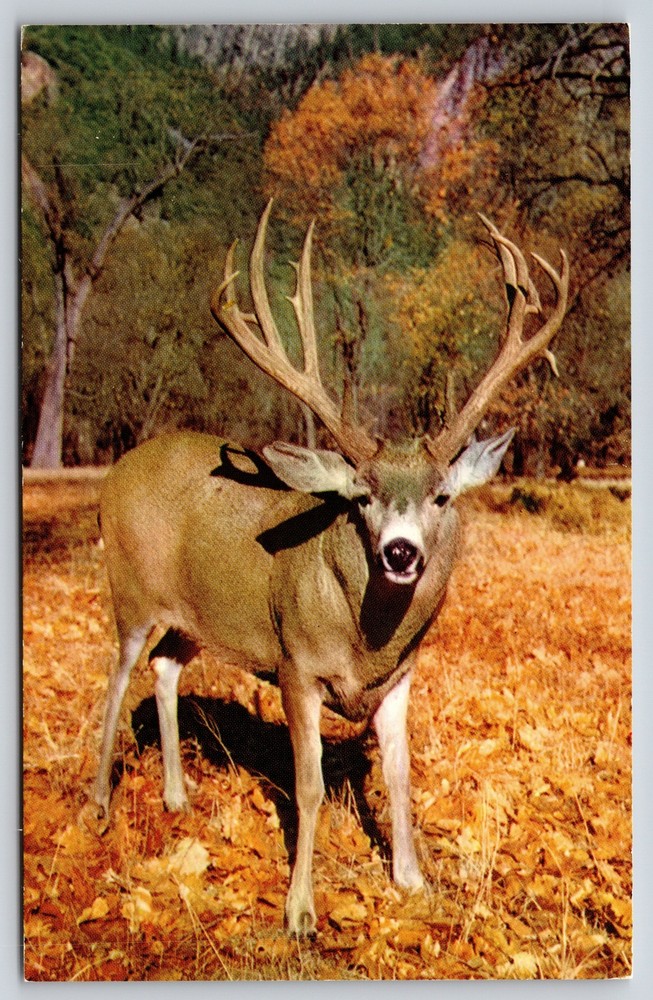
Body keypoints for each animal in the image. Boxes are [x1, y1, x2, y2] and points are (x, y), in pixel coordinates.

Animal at [93, 201, 569, 936]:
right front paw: (300, 912)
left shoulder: (400, 680)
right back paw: (98, 805)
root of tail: (116, 470)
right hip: (129, 590)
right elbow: (309, 786)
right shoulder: (295, 664)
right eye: (362, 496)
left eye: (441, 495)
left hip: (191, 618)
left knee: (165, 668)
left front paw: (412, 881)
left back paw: (176, 797)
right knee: (116, 680)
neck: (363, 641)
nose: (400, 551)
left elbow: (400, 774)